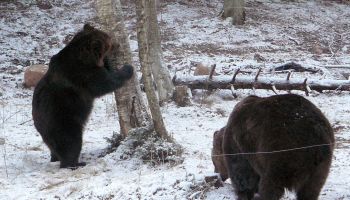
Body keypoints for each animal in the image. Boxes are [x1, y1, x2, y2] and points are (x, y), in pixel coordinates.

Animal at [32, 24, 134, 170]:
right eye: (109, 39)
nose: (117, 44)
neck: (85, 57)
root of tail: (39, 125)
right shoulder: (83, 74)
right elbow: (106, 83)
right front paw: (128, 68)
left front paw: (107, 61)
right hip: (62, 120)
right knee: (71, 143)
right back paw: (75, 163)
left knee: (53, 147)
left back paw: (55, 158)